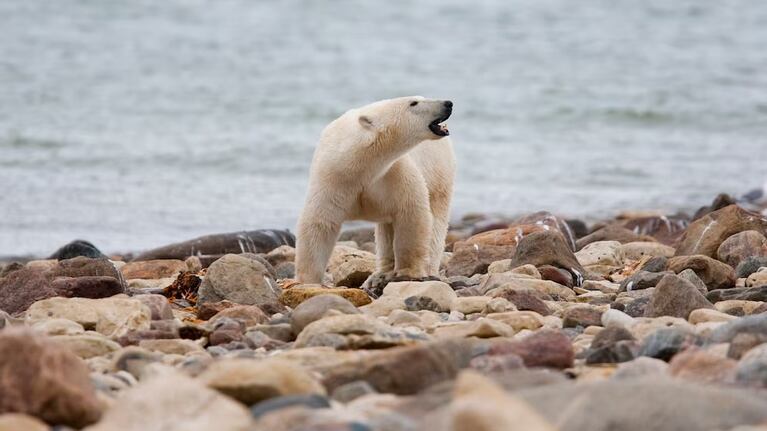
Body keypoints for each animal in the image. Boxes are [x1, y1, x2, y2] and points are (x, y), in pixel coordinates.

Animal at [295, 96, 456, 288]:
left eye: (421, 98)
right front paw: (307, 280)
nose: (448, 103)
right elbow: (320, 223)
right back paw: (381, 274)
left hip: (439, 174)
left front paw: (409, 272)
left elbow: (411, 214)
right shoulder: (333, 178)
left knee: (436, 221)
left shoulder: (393, 173)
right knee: (386, 229)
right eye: (413, 103)